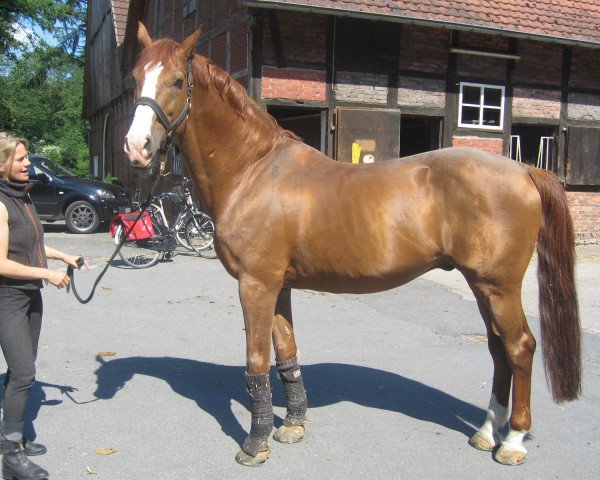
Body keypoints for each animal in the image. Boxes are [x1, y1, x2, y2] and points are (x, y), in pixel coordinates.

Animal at [124, 24, 580, 466]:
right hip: (482, 285)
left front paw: (255, 445)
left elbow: (256, 361)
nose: (136, 148)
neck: (253, 170)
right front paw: (292, 425)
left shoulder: (255, 284)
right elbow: (286, 352)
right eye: (135, 78)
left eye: (177, 80)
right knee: (498, 348)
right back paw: (487, 432)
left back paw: (513, 442)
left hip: (499, 286)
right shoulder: (278, 286)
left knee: (520, 347)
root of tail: (524, 170)